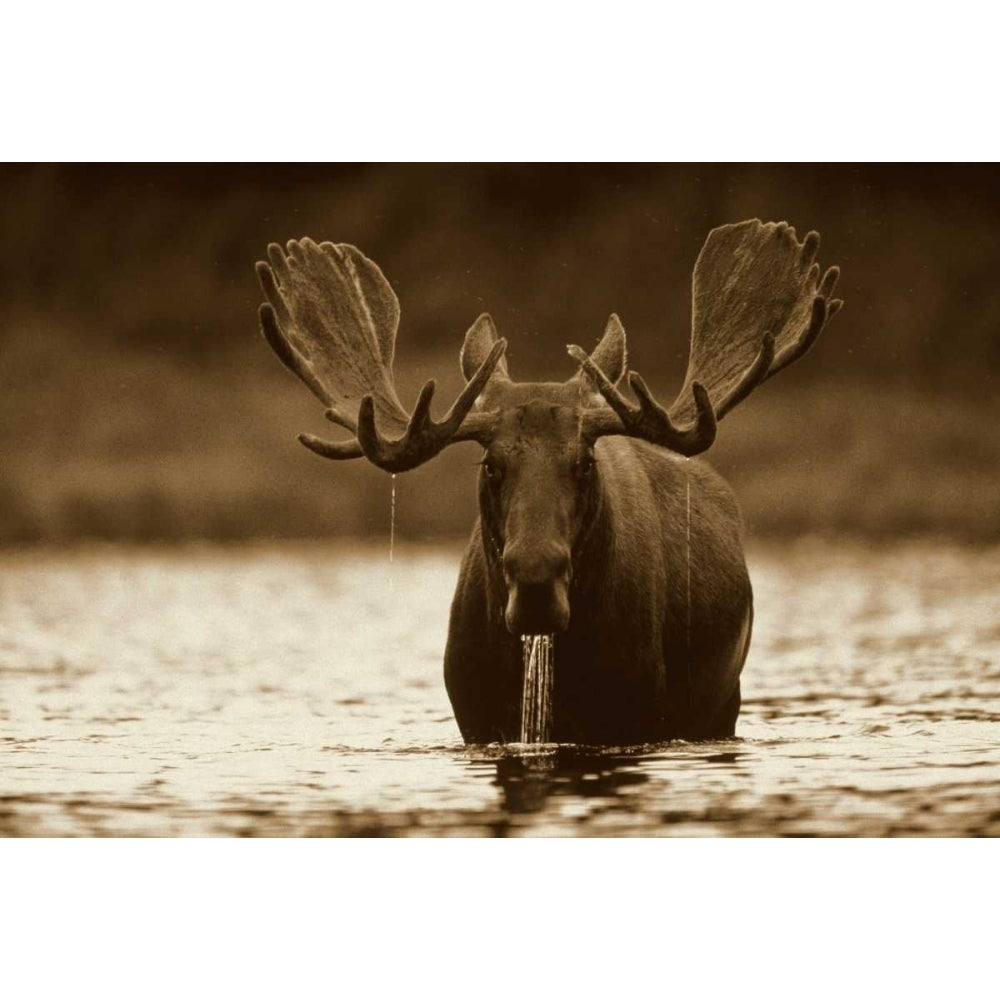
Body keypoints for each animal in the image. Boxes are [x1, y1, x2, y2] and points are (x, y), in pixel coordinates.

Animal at [254, 221, 840, 752]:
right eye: (490, 464)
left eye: (584, 463)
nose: (536, 578)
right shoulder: (474, 716)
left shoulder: (638, 711)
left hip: (725, 700)